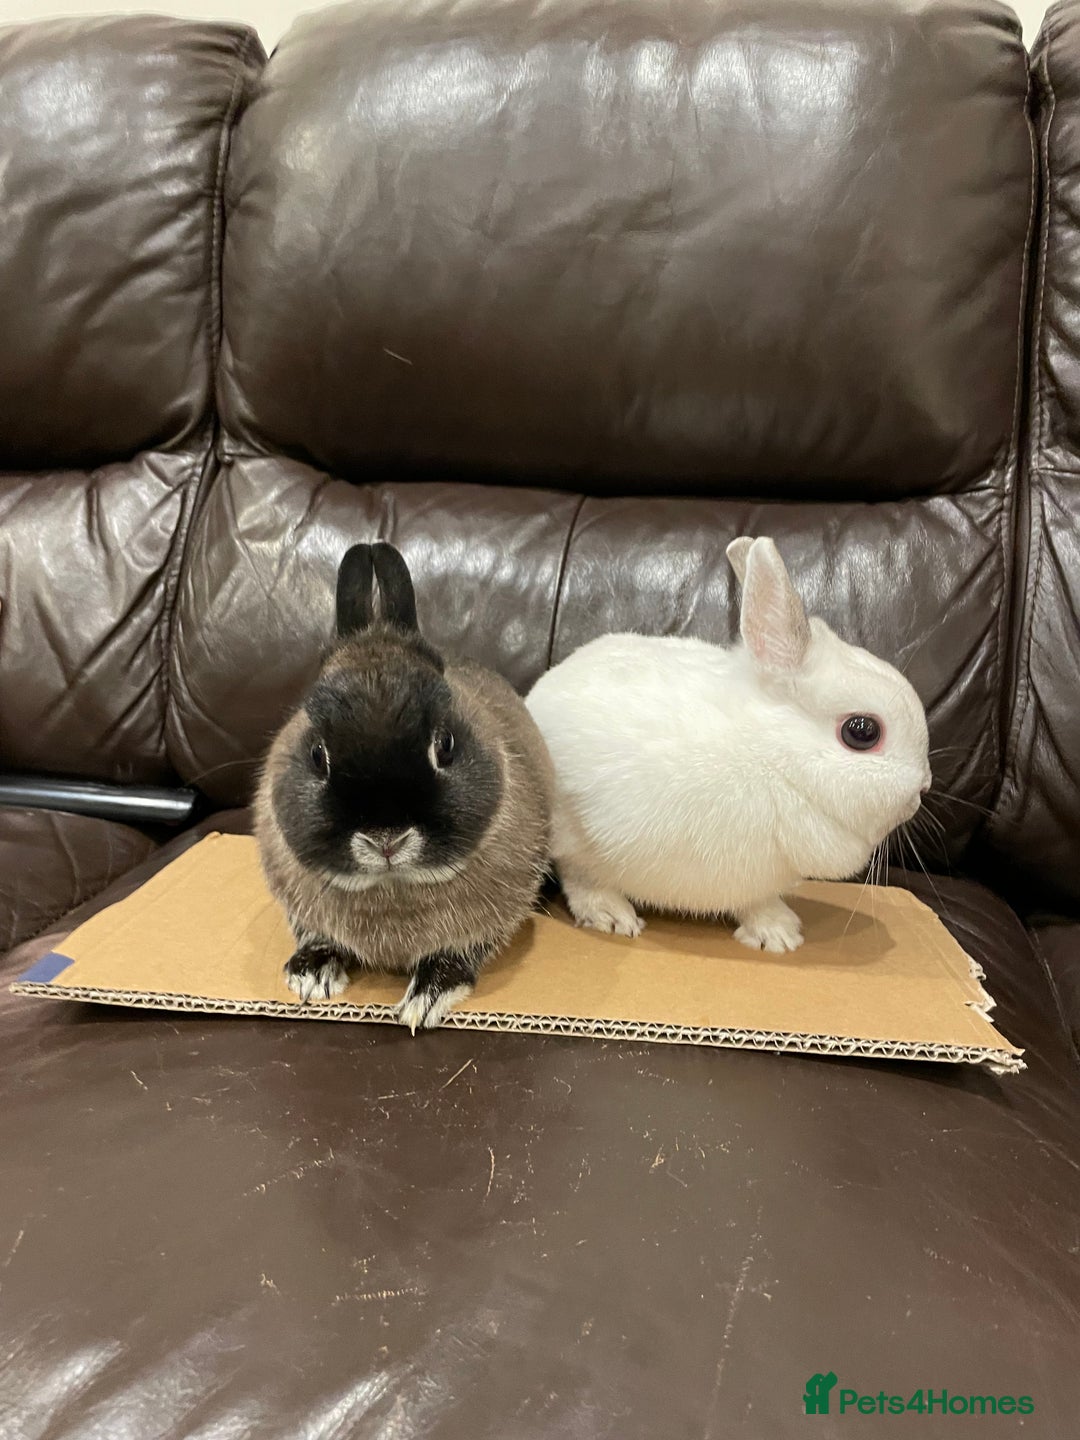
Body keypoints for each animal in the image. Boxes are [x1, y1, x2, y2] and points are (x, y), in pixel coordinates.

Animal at [254, 542, 553, 1030]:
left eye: (445, 745)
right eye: (318, 754)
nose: (386, 839)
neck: (391, 885)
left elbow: (454, 957)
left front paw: (424, 1003)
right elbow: (317, 936)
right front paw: (311, 979)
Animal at [525, 536, 931, 953]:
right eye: (862, 732)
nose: (924, 787)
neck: (775, 760)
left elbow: (758, 904)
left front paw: (780, 933)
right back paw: (610, 913)